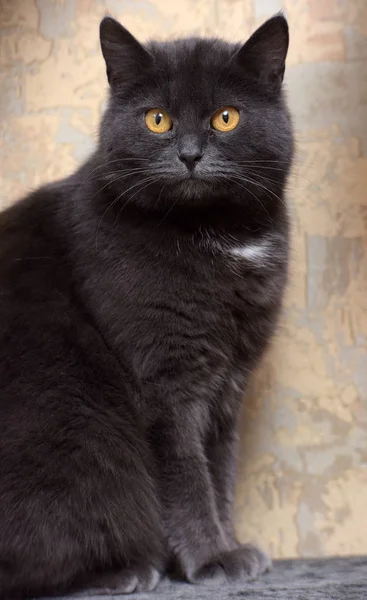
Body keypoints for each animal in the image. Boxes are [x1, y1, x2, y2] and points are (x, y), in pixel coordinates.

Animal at [0, 11, 294, 596]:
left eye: (226, 117)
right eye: (157, 120)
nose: (190, 155)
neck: (213, 236)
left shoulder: (228, 379)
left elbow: (220, 467)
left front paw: (230, 546)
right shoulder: (164, 379)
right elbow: (186, 476)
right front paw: (210, 558)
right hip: (84, 437)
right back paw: (127, 571)